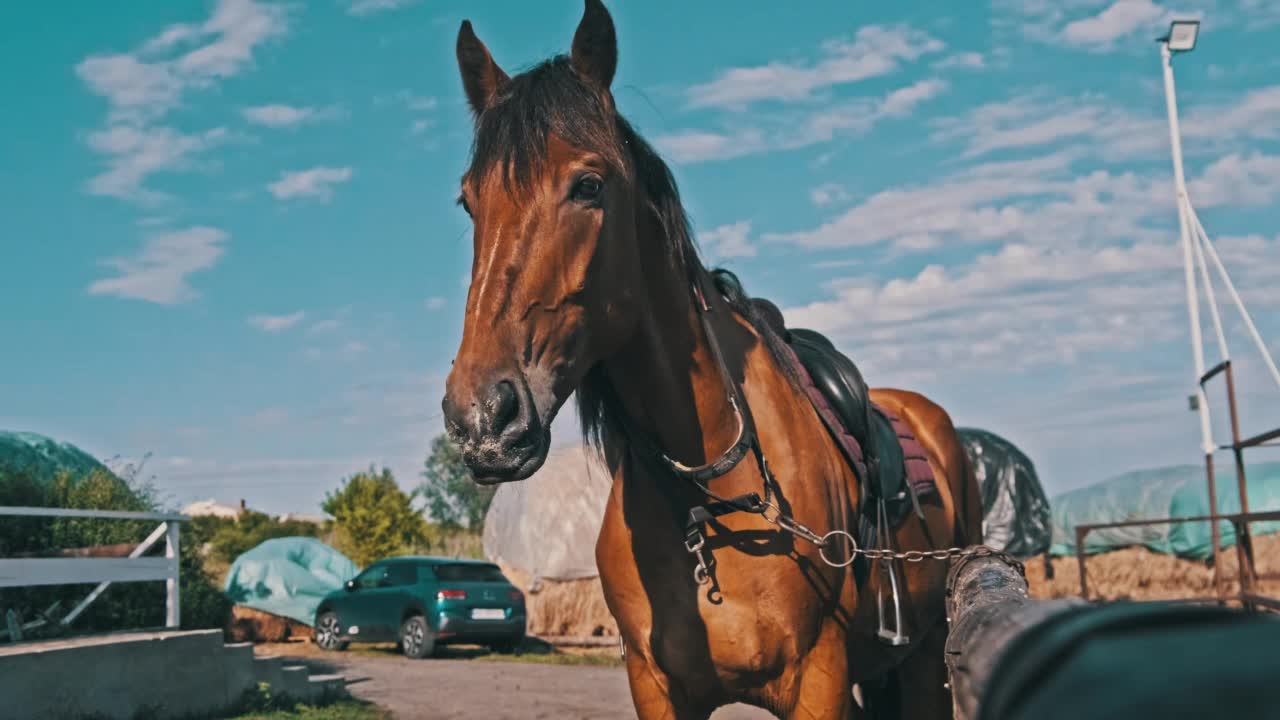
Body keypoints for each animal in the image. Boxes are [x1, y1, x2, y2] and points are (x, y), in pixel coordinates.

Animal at [445, 2, 983, 712]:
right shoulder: (656, 686)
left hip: (925, 659)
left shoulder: (820, 680)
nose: (483, 419)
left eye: (588, 185)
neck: (706, 497)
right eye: (469, 201)